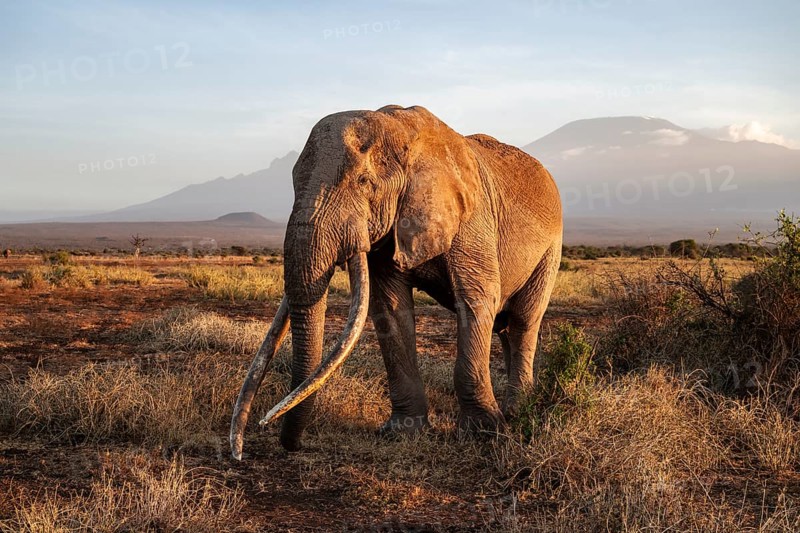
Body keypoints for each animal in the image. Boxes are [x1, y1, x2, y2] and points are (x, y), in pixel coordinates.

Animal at [231, 105, 562, 459]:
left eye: (364, 181)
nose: (286, 442)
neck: (402, 130)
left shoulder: (472, 219)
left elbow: (476, 300)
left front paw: (484, 434)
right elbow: (390, 308)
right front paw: (401, 432)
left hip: (551, 249)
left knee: (523, 321)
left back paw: (517, 412)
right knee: (505, 326)